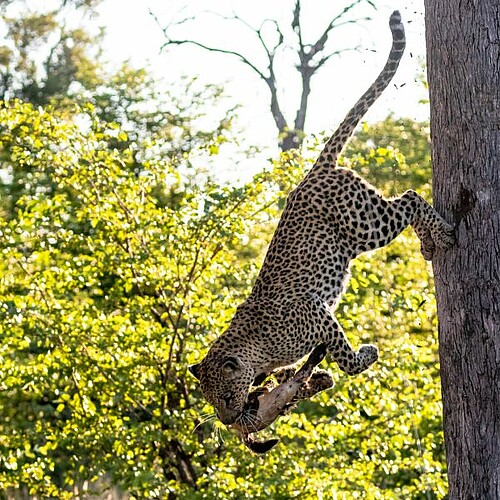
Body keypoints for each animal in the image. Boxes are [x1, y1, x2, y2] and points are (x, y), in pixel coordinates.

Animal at [188, 9, 454, 426]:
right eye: (212, 402)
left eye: (227, 397)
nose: (229, 422)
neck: (258, 349)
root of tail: (315, 171)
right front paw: (284, 382)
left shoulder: (316, 313)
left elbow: (344, 358)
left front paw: (364, 355)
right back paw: (430, 241)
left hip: (367, 225)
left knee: (410, 199)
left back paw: (440, 234)